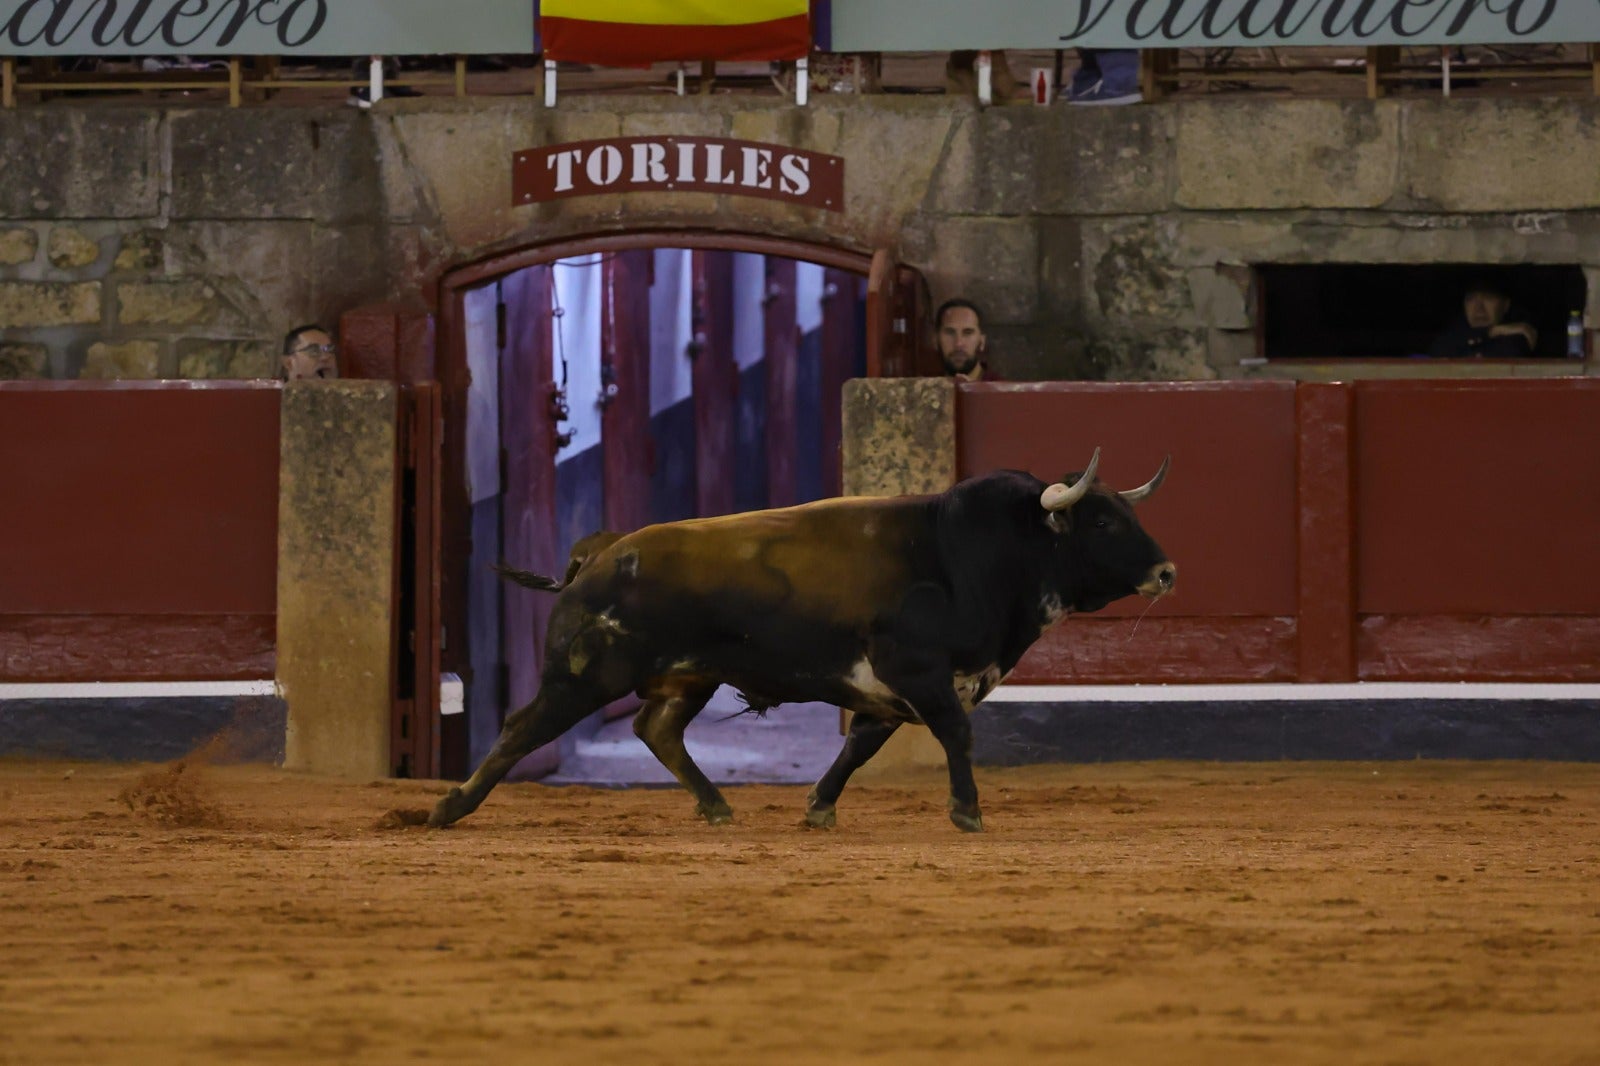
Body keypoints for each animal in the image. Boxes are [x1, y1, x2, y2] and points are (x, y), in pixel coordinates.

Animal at [428, 448, 1177, 832]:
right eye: (1103, 523)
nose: (1167, 573)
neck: (967, 554)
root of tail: (602, 554)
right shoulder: (920, 673)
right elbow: (956, 735)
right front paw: (967, 812)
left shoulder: (888, 689)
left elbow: (859, 747)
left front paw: (818, 808)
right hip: (585, 675)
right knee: (522, 728)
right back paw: (448, 808)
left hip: (690, 676)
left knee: (656, 729)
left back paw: (715, 805)